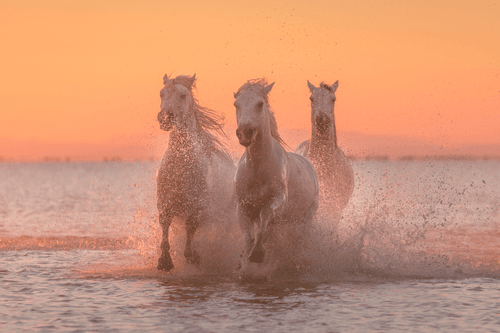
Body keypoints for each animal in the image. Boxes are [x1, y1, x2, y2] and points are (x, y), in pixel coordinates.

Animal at [156, 72, 236, 270]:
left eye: (183, 95)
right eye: (162, 93)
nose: (165, 118)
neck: (180, 165)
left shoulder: (196, 207)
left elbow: (191, 229)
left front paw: (192, 256)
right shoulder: (165, 204)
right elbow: (165, 225)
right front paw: (165, 260)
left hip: (226, 215)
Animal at [233, 78, 318, 264]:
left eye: (260, 104)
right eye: (236, 104)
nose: (245, 133)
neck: (258, 170)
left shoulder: (279, 198)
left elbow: (266, 212)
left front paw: (258, 252)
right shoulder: (243, 207)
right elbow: (248, 236)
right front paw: (246, 256)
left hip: (306, 218)